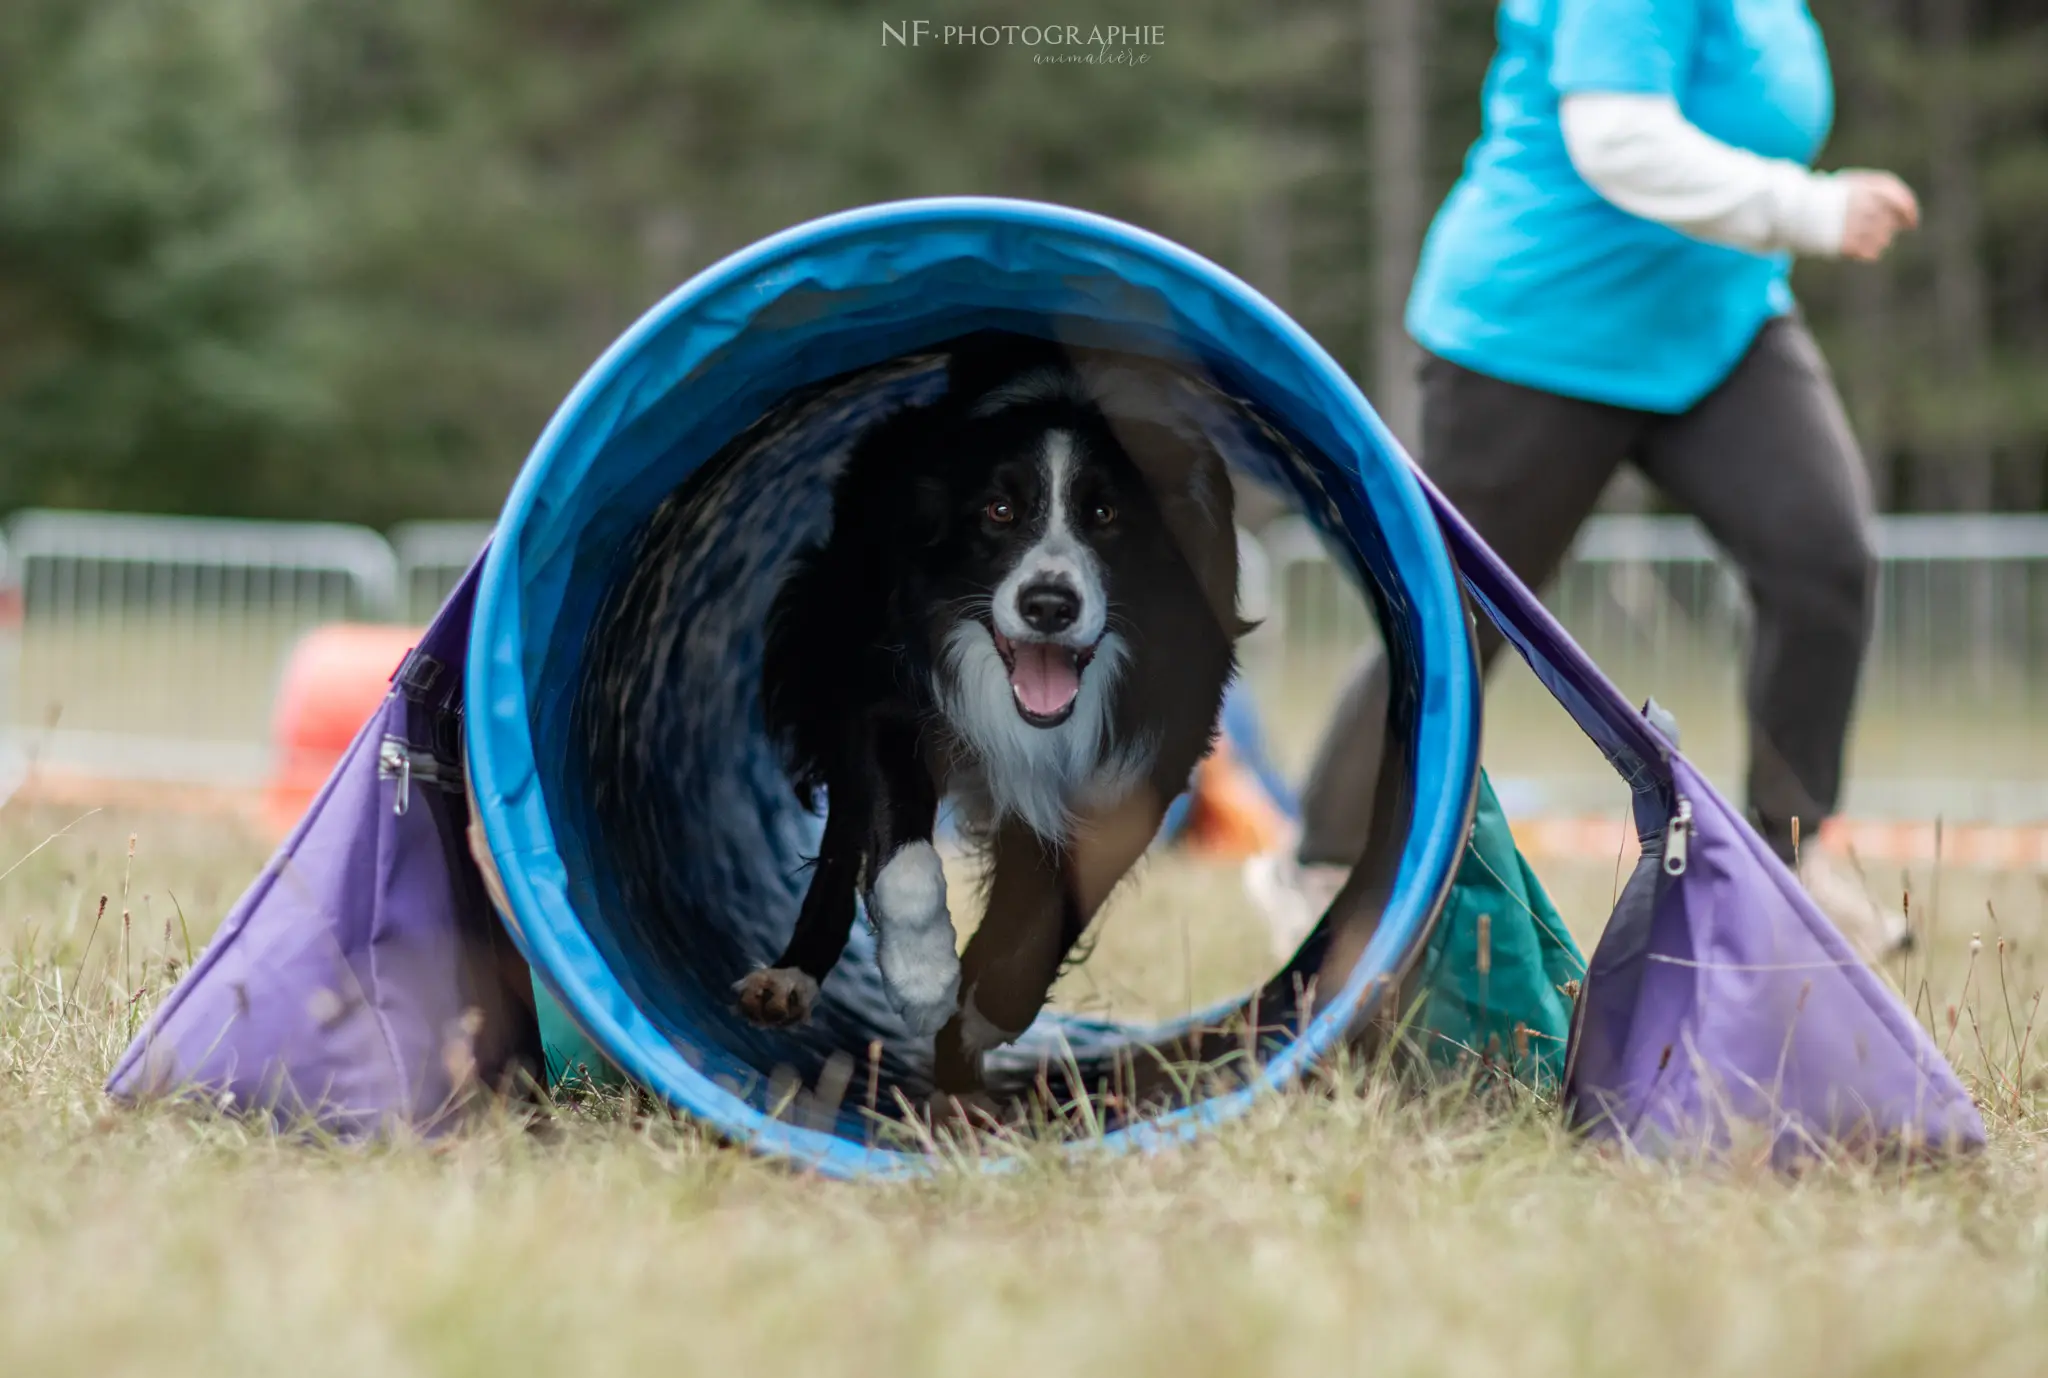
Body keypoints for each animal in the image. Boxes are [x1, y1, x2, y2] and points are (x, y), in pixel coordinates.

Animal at [741, 329, 1236, 1097]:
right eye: (998, 512)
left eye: (1106, 516)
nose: (1048, 605)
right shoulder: (884, 683)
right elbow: (902, 857)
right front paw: (922, 982)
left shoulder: (1144, 761)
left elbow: (1052, 911)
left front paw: (980, 1015)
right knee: (845, 835)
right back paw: (793, 977)